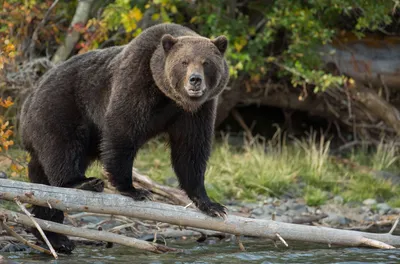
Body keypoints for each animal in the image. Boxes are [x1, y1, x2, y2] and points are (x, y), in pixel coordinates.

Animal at [19, 22, 228, 252]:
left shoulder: (195, 112)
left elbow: (191, 150)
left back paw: (55, 236)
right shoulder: (136, 83)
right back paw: (82, 183)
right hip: (59, 108)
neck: (169, 97)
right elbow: (122, 130)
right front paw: (135, 190)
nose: (195, 80)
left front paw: (210, 204)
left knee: (43, 181)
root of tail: (28, 100)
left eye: (206, 63)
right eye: (184, 62)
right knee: (62, 148)